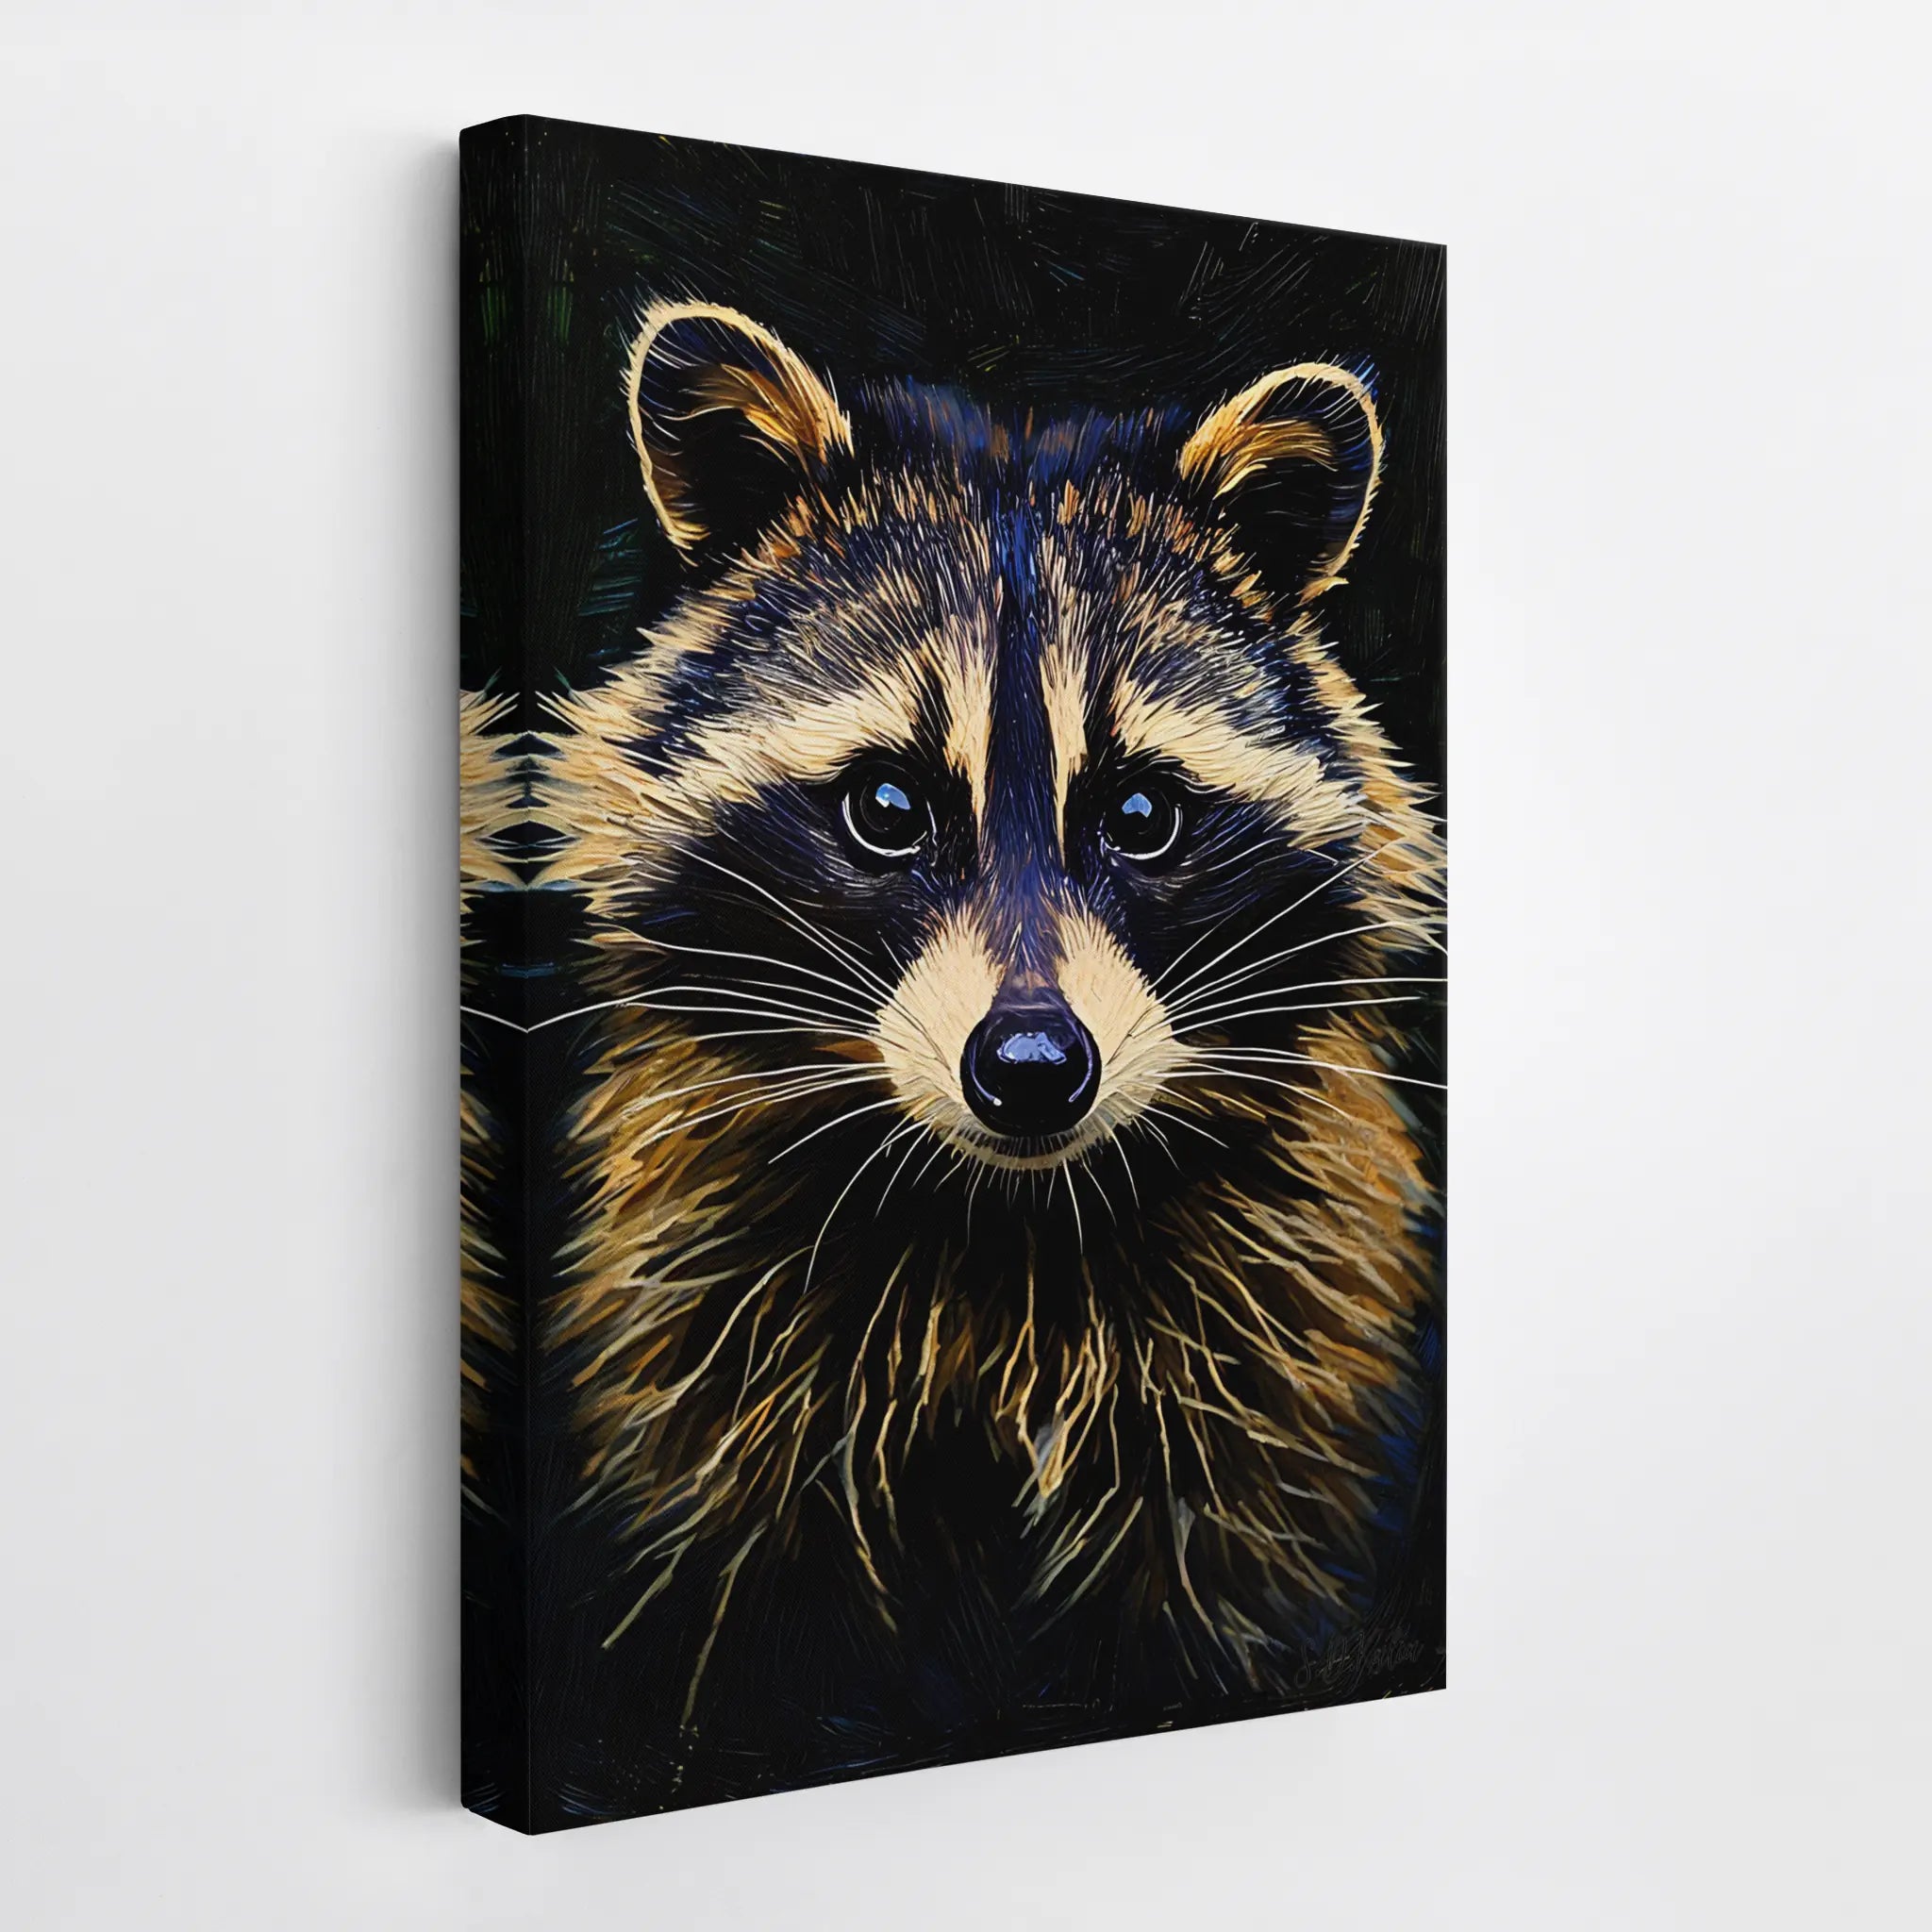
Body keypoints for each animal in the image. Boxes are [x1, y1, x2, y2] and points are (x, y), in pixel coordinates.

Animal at [537, 303, 1443, 1782]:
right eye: (887, 807)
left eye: (1139, 815)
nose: (1029, 1072)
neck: (1001, 1227)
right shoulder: (710, 1347)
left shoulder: (1275, 1349)